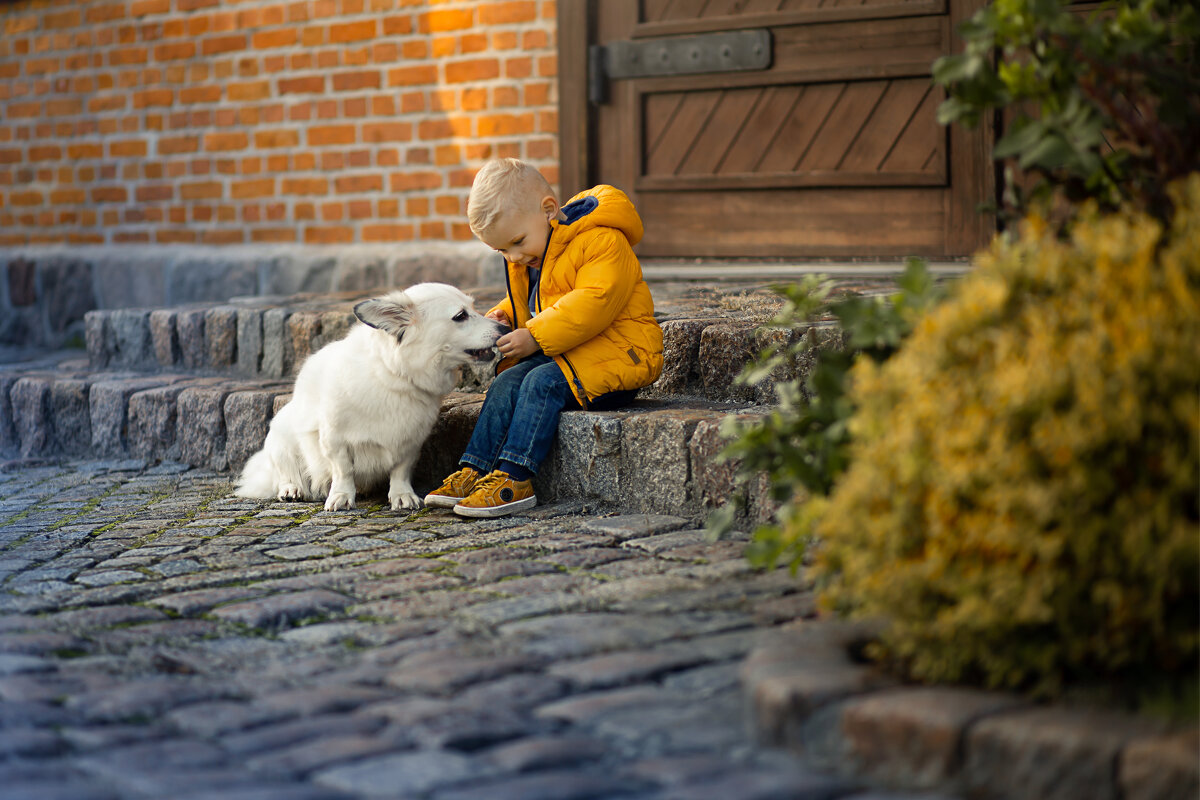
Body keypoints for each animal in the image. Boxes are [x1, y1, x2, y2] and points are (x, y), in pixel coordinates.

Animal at [234, 284, 506, 513]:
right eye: (460, 316)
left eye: (473, 307)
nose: (504, 328)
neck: (394, 375)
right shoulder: (334, 440)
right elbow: (343, 470)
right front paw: (342, 496)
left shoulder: (410, 441)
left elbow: (400, 470)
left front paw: (402, 495)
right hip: (281, 439)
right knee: (284, 473)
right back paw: (292, 489)